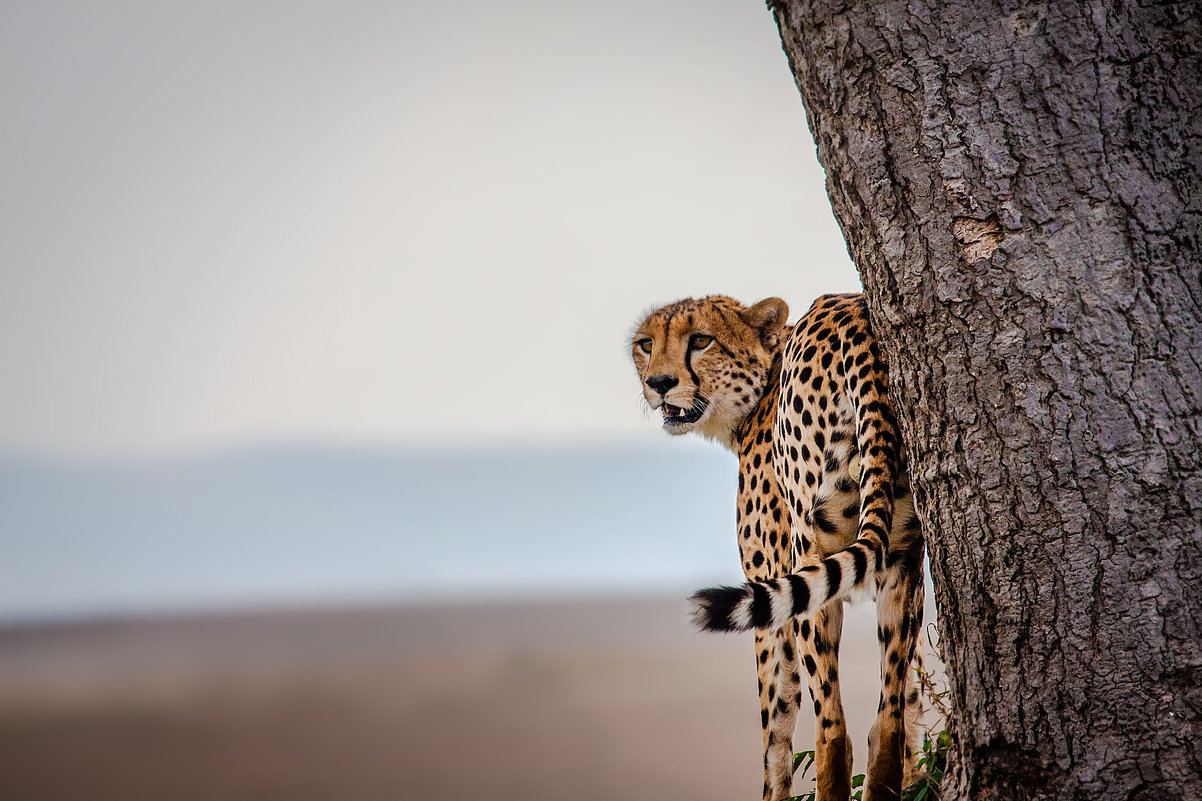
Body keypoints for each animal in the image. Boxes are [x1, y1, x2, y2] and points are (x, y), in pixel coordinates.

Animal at [634, 293, 923, 798]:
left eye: (701, 340)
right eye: (646, 344)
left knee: (832, 730)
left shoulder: (772, 602)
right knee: (886, 724)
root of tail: (857, 311)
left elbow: (776, 733)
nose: (659, 384)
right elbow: (911, 701)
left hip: (810, 553)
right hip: (900, 556)